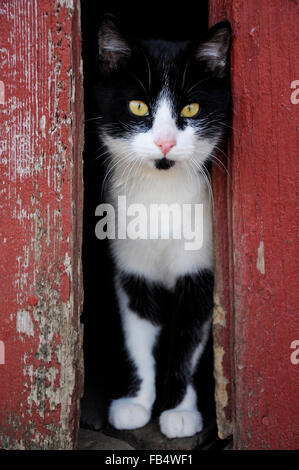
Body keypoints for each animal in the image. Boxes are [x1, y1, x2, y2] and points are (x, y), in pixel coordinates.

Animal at [92, 17, 231, 436]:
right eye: (138, 106)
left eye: (192, 106)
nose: (166, 143)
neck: (161, 194)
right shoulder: (131, 269)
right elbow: (137, 335)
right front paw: (135, 402)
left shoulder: (201, 272)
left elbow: (188, 342)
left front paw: (180, 411)